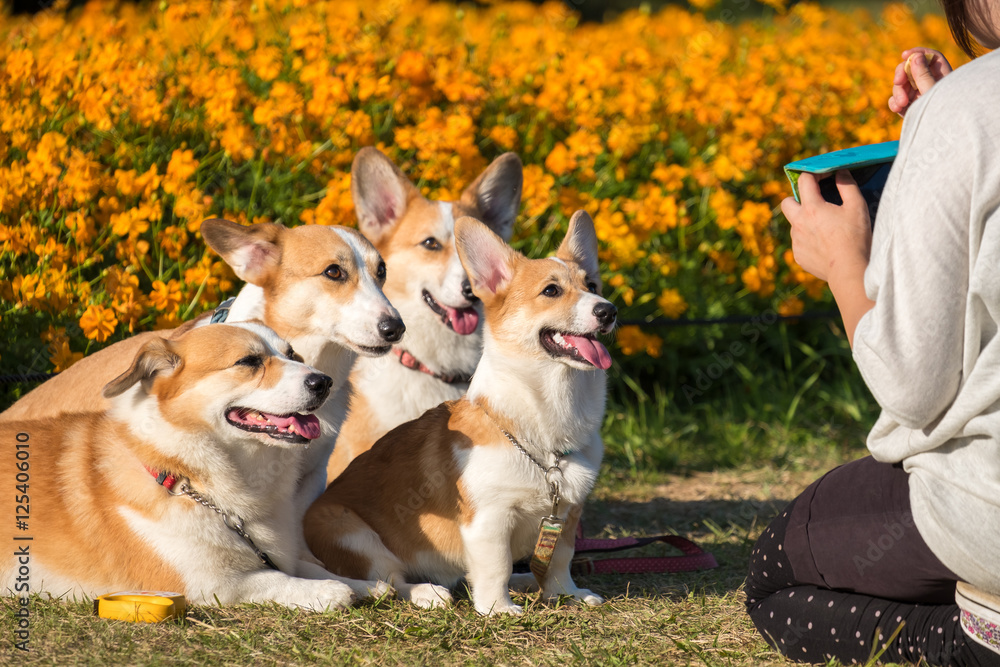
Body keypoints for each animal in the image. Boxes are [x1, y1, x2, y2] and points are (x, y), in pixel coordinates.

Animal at [0, 324, 386, 612]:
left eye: (292, 355)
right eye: (249, 361)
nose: (324, 382)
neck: (187, 477)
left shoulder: (278, 553)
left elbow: (309, 565)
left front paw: (365, 585)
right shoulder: (207, 582)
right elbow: (276, 579)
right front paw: (329, 592)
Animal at [304, 213, 616, 616]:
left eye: (592, 285)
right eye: (551, 291)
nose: (608, 310)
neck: (543, 429)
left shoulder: (565, 513)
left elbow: (559, 561)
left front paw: (567, 593)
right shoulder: (489, 519)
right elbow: (496, 566)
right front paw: (498, 609)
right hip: (353, 535)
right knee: (390, 580)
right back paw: (427, 592)